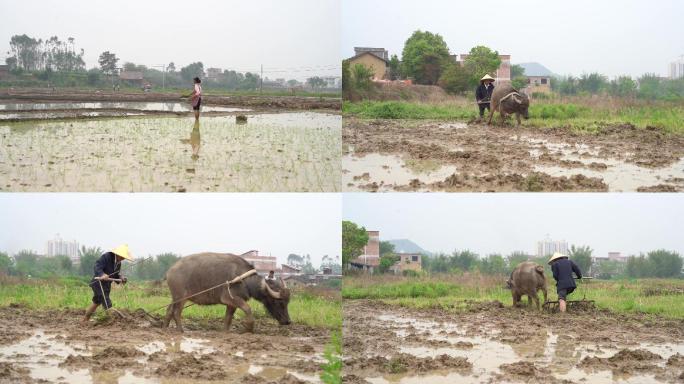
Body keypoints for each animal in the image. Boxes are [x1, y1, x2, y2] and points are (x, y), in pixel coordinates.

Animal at [164, 252, 292, 332]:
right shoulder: (230, 298)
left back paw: (164, 328)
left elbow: (228, 318)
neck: (243, 279)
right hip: (181, 297)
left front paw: (225, 331)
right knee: (176, 312)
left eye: (287, 303)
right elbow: (247, 309)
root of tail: (170, 271)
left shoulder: (231, 304)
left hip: (175, 297)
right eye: (279, 302)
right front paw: (248, 328)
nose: (288, 321)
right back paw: (180, 330)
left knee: (169, 310)